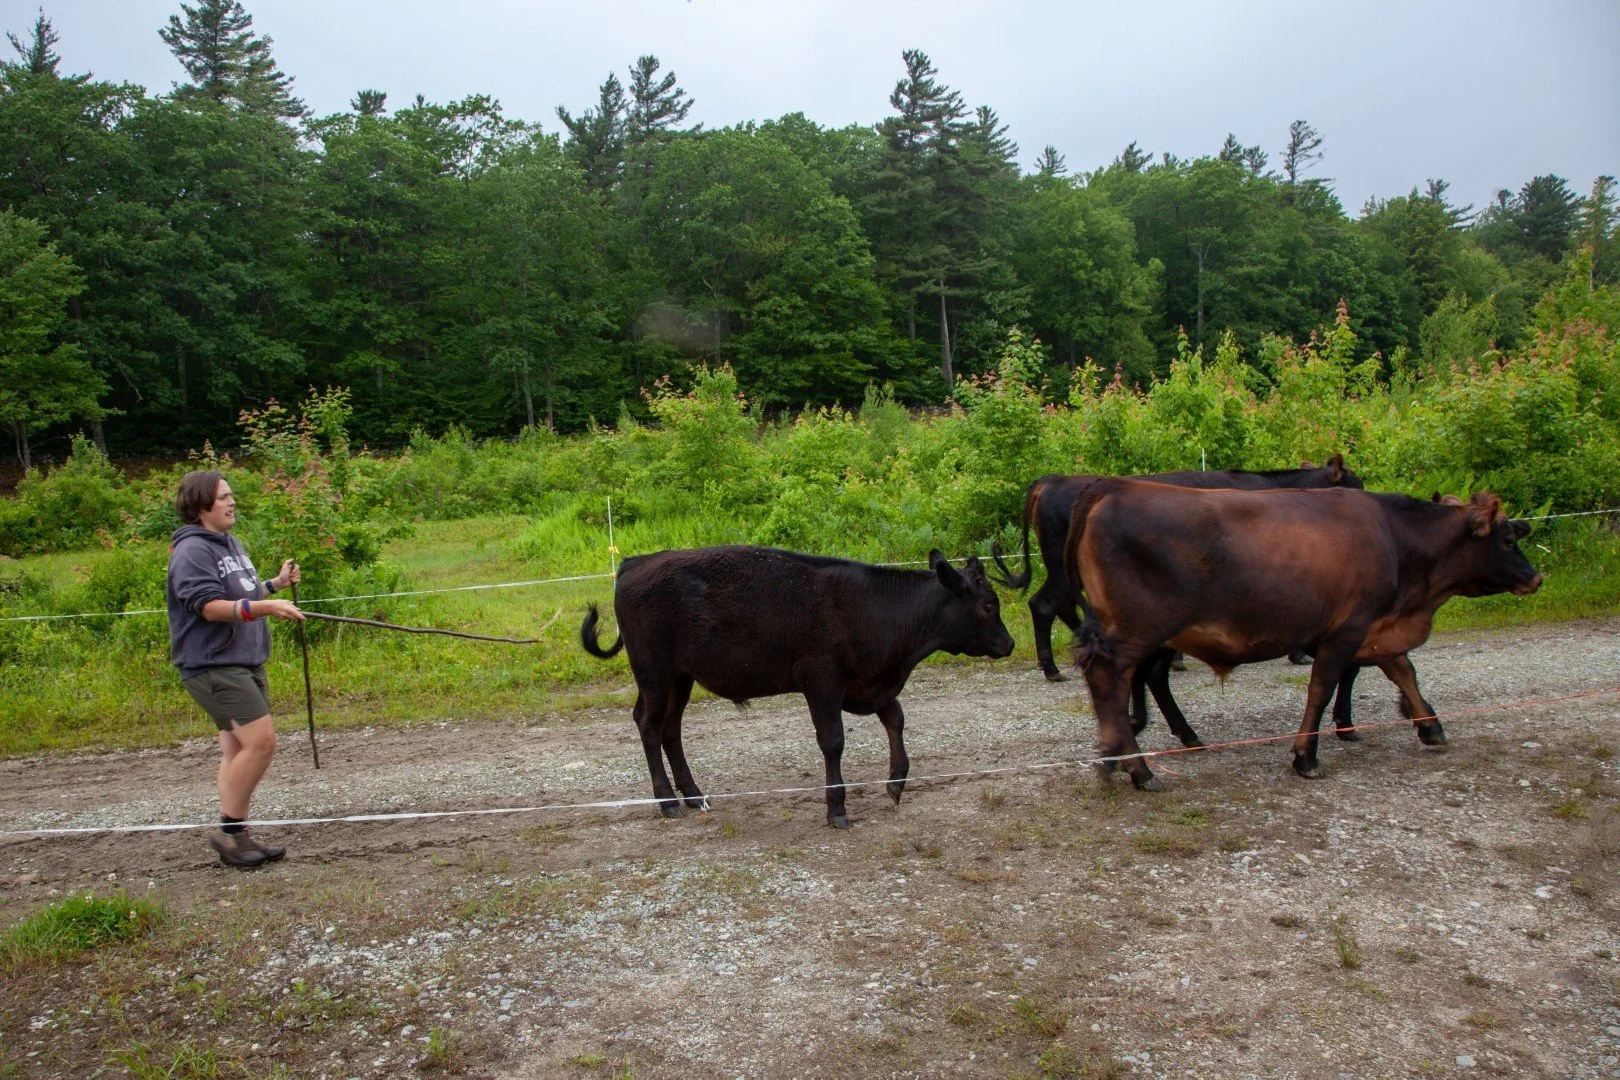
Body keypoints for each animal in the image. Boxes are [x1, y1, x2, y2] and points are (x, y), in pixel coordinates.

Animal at [579, 546, 1016, 827]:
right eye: (988, 606)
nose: (1009, 643)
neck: (874, 608)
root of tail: (636, 563)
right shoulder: (821, 682)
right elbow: (833, 741)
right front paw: (836, 807)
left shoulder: (871, 684)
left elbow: (896, 719)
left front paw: (896, 783)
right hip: (655, 673)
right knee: (649, 726)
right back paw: (667, 800)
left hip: (681, 677)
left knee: (670, 729)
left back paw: (694, 794)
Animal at [991, 455, 1363, 682]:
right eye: (1354, 484)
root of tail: (1052, 480)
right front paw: (1298, 652)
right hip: (1060, 567)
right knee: (1044, 604)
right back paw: (1052, 669)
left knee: (1065, 606)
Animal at [1064, 483, 1541, 789]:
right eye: (1507, 538)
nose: (1535, 578)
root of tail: (1111, 489)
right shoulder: (1348, 628)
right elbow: (1323, 688)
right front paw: (1306, 756)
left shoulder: (1374, 627)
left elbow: (1404, 670)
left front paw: (1430, 726)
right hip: (1141, 629)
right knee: (1110, 677)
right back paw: (1136, 768)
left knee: (1128, 681)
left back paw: (1131, 754)